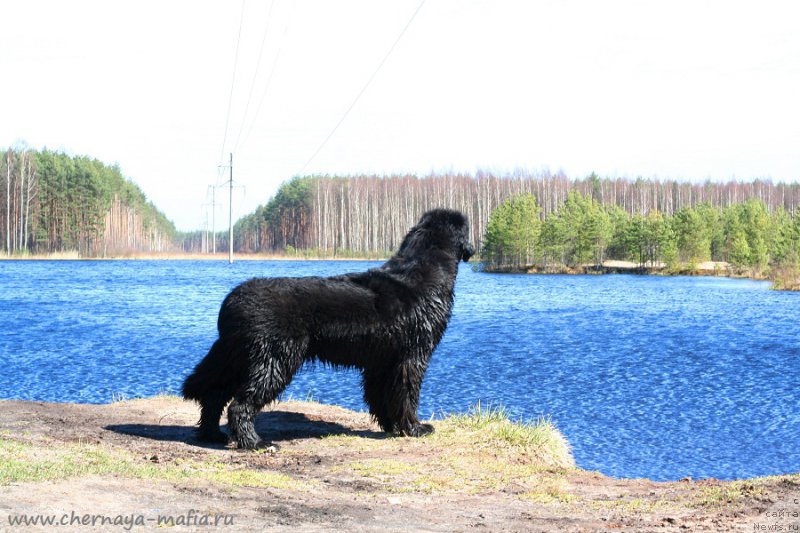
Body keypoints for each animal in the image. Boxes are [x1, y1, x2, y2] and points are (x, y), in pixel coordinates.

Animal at [184, 208, 472, 448]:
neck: (423, 272)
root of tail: (231, 303)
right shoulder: (411, 356)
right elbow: (406, 395)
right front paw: (414, 428)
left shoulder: (380, 363)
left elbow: (382, 398)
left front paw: (392, 427)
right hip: (272, 362)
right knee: (239, 405)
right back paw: (255, 442)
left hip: (239, 360)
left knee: (214, 395)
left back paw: (212, 435)